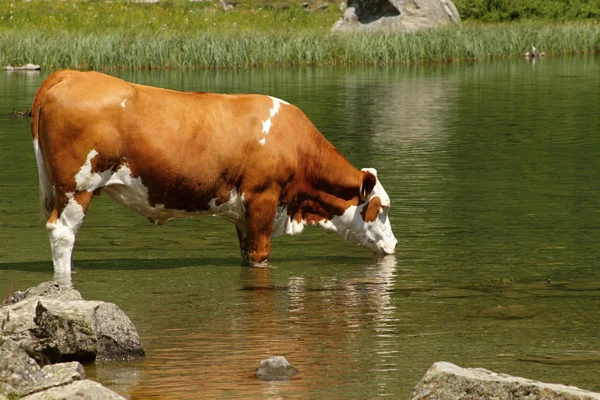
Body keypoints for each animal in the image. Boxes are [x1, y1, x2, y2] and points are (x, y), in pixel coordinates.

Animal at [31, 70, 398, 276]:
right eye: (382, 208)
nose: (394, 244)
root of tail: (70, 73)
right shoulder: (263, 198)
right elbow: (261, 254)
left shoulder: (242, 215)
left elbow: (247, 255)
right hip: (78, 186)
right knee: (62, 233)